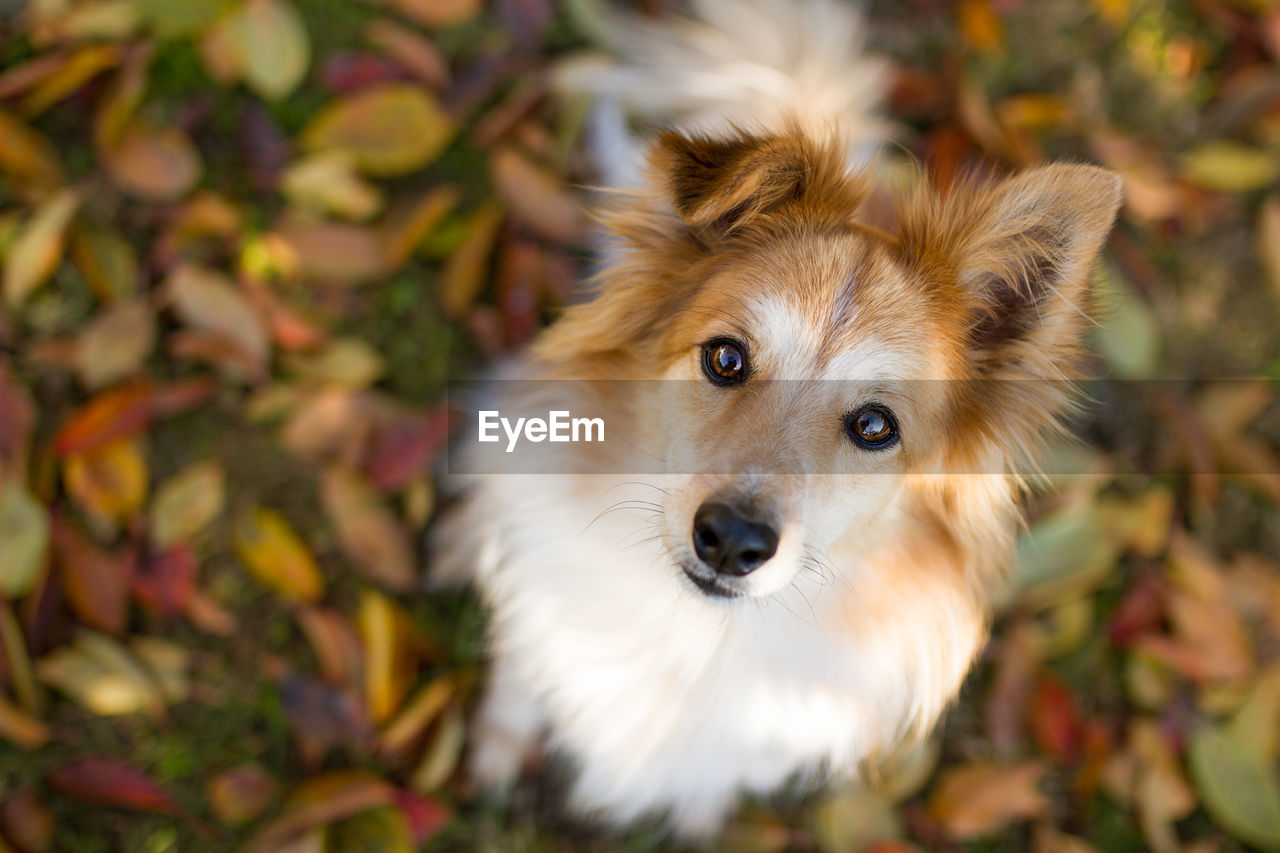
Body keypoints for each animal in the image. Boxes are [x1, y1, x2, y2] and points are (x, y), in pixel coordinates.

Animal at [430, 0, 1121, 835]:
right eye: (726, 357)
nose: (731, 540)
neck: (695, 632)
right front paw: (495, 749)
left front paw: (698, 819)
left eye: (875, 426)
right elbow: (518, 684)